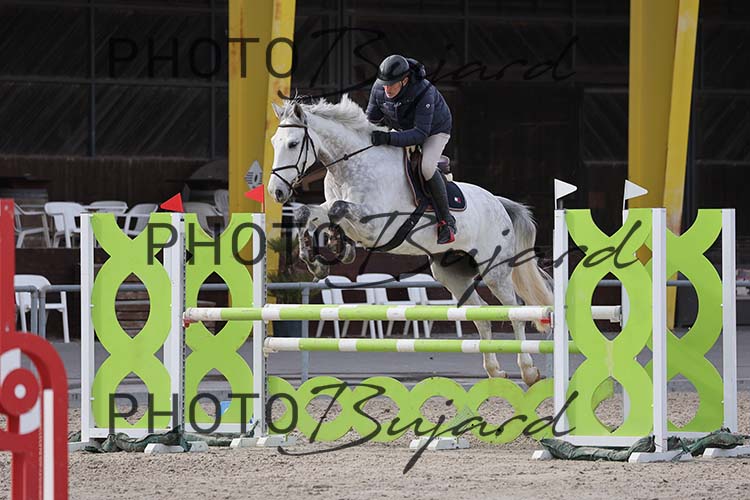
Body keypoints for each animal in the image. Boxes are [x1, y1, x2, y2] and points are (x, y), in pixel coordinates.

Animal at [267, 95, 553, 386]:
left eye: (293, 144)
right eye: (274, 142)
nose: (275, 192)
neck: (349, 168)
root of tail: (499, 203)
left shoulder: (376, 225)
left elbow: (337, 209)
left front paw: (339, 248)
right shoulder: (338, 210)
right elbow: (309, 213)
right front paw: (318, 259)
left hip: (495, 271)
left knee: (514, 312)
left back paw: (528, 371)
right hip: (451, 273)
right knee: (482, 315)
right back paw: (495, 372)